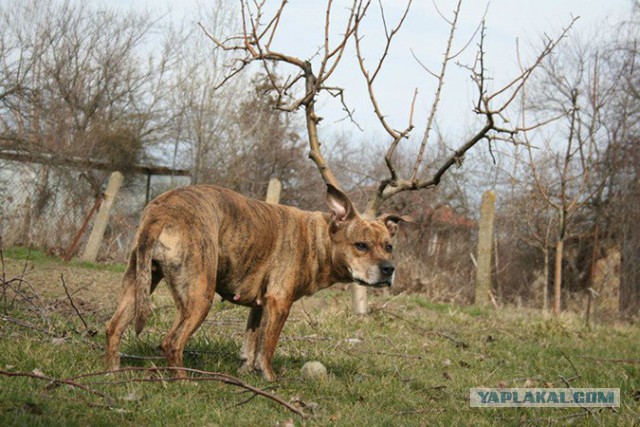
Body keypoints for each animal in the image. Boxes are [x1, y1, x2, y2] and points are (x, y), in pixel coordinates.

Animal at [106, 184, 410, 382]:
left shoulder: (259, 306)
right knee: (172, 342)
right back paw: (183, 380)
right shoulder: (279, 304)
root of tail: (162, 212)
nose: (389, 269)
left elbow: (251, 343)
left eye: (389, 246)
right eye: (361, 245)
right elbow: (267, 346)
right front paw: (269, 378)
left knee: (114, 327)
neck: (319, 239)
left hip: (138, 283)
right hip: (199, 298)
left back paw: (112, 373)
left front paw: (245, 371)